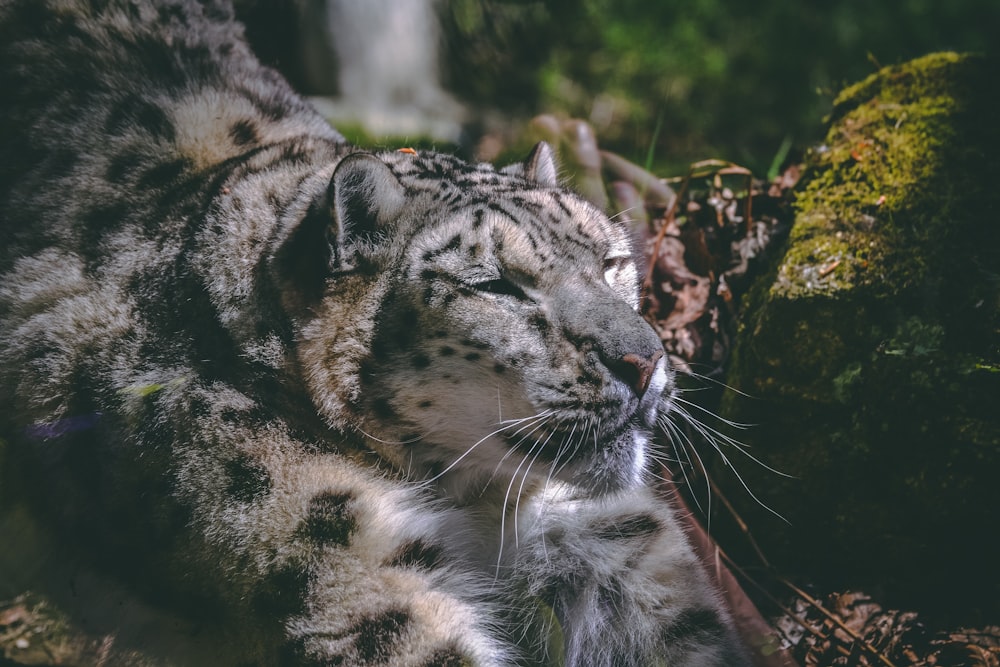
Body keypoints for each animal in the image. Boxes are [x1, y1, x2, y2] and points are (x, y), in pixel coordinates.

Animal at [0, 1, 748, 667]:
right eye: (496, 285)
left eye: (612, 261)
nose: (644, 361)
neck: (478, 503)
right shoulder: (337, 556)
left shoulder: (609, 541)